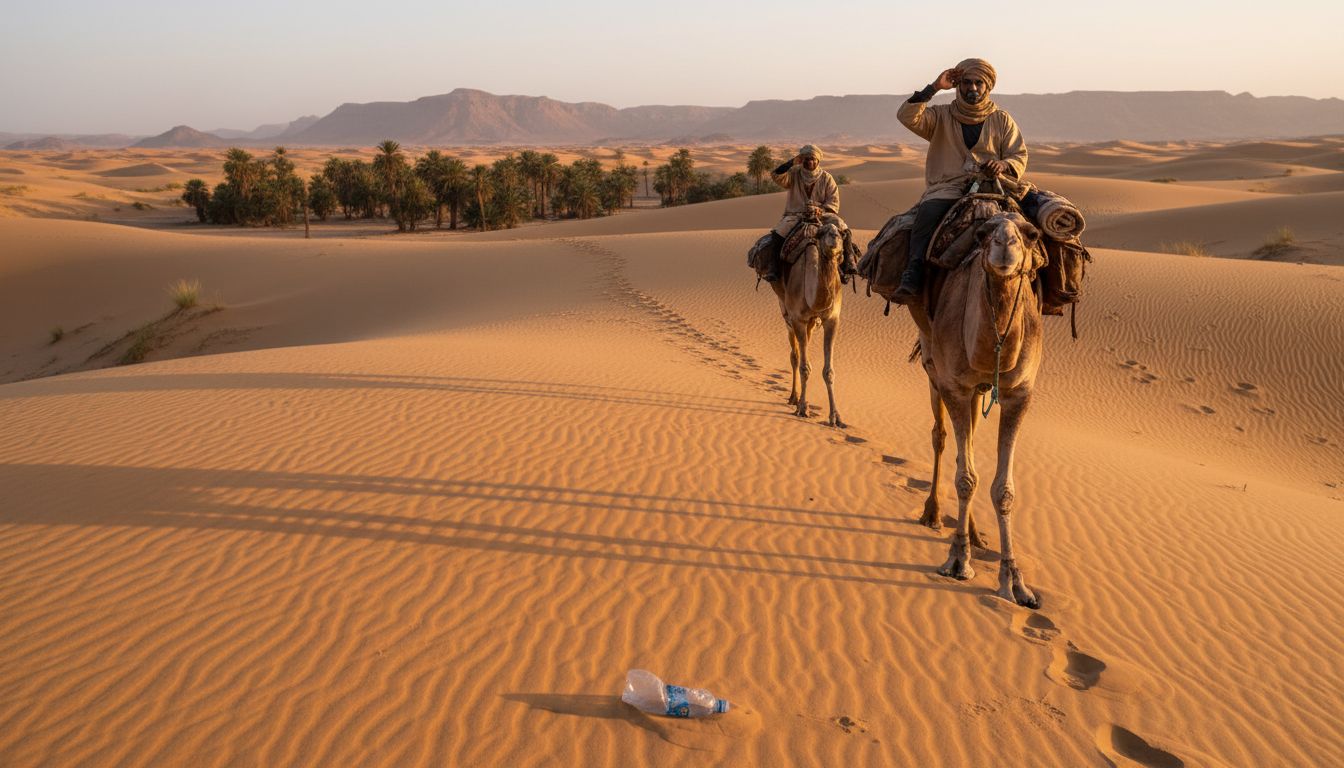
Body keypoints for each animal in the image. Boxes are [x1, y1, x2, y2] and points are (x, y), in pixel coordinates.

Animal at [771, 219, 847, 427]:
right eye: (822, 233)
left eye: (841, 233)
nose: (834, 238)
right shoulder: (798, 319)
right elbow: (804, 367)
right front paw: (803, 408)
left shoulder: (832, 320)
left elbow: (829, 371)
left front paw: (835, 417)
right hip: (787, 317)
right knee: (795, 356)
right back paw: (794, 398)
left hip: (811, 324)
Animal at [907, 211, 1047, 608]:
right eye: (983, 233)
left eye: (1032, 234)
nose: (1005, 245)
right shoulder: (954, 385)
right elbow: (965, 477)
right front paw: (958, 560)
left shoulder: (1020, 394)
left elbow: (1003, 488)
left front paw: (1014, 580)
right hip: (933, 369)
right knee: (941, 438)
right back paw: (933, 514)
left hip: (976, 393)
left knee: (964, 441)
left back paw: (973, 532)